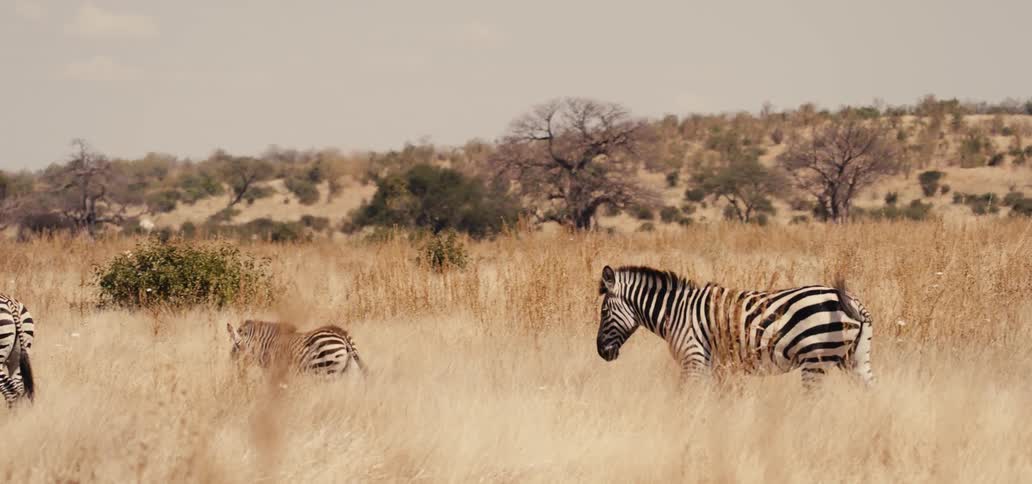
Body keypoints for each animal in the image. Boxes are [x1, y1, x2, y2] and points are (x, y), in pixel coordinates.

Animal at [225, 320, 367, 377]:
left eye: (237, 345)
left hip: (328, 370)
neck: (267, 346)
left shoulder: (274, 370)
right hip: (348, 372)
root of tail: (342, 335)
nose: (232, 364)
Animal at [595, 265, 874, 389]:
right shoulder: (715, 367)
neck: (674, 311)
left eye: (604, 312)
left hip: (815, 359)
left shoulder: (693, 359)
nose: (600, 352)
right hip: (855, 359)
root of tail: (852, 302)